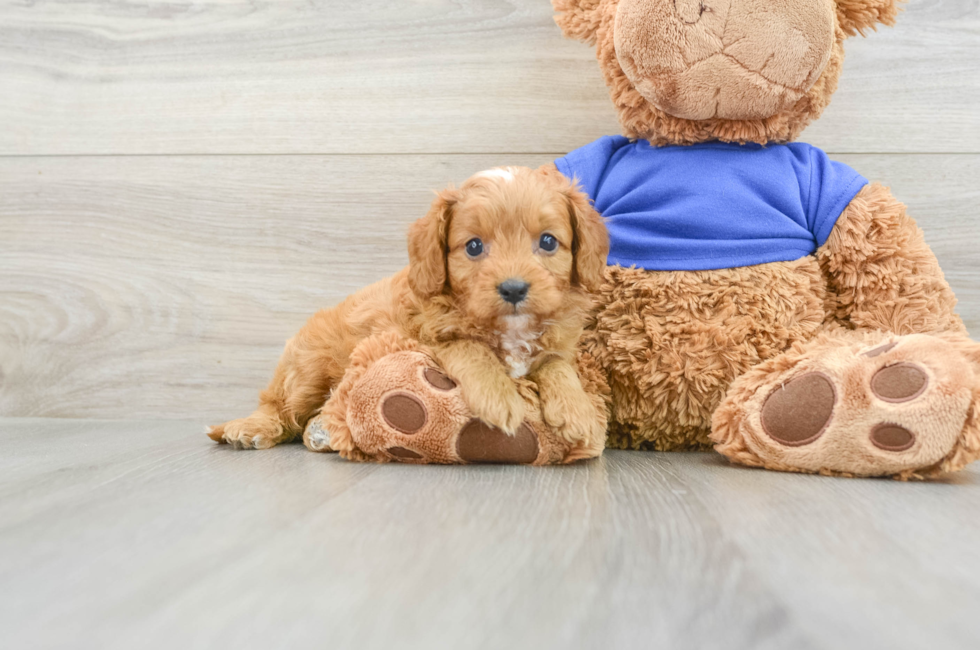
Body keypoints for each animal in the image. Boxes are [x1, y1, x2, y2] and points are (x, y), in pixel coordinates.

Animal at [211, 167, 608, 448]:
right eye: (474, 246)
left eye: (548, 242)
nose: (513, 289)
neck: (509, 329)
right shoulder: (421, 338)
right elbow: (469, 347)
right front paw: (498, 397)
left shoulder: (554, 345)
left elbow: (557, 365)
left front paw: (578, 412)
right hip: (309, 370)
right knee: (279, 404)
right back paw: (248, 428)